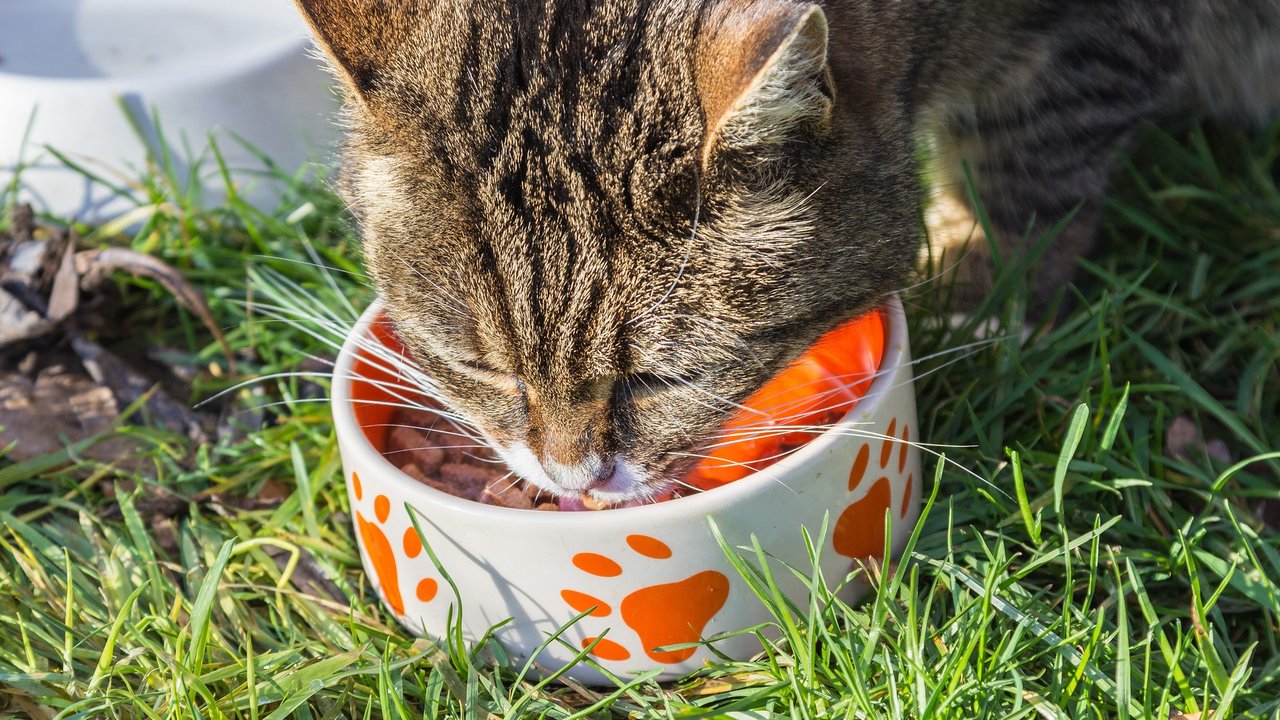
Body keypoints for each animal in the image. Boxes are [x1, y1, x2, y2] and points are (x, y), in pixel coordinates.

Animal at [293, 0, 1280, 499]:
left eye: (665, 379)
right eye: (479, 368)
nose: (571, 478)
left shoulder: (1089, 40)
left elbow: (1028, 160)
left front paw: (988, 295)